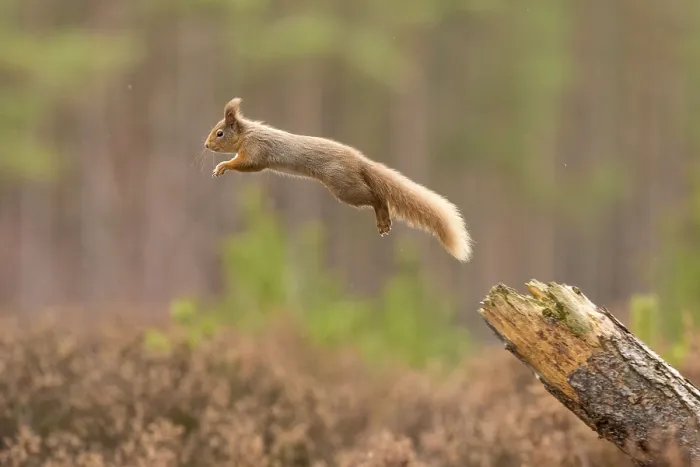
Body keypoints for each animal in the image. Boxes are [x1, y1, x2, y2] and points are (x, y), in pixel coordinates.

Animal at [204, 97, 473, 262]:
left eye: (220, 133)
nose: (206, 145)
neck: (248, 133)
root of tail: (358, 160)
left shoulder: (256, 151)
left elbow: (246, 164)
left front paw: (222, 166)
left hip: (344, 187)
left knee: (377, 197)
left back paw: (383, 218)